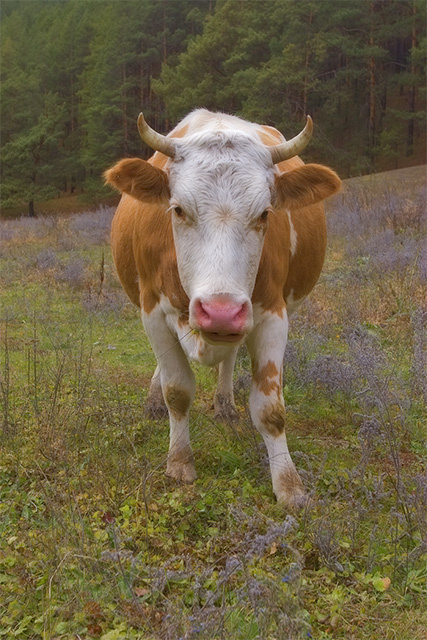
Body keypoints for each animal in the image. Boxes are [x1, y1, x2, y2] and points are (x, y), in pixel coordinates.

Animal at [104, 109, 341, 509]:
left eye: (265, 214)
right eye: (178, 209)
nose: (220, 313)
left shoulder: (272, 314)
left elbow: (271, 409)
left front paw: (289, 485)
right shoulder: (153, 313)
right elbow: (177, 391)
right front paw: (179, 462)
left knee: (229, 358)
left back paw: (225, 404)